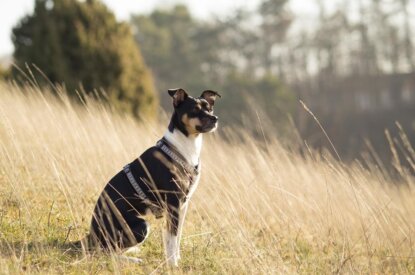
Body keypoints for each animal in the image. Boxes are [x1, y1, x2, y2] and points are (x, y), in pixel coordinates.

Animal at [85, 88, 221, 268]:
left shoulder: (182, 206)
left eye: (210, 108)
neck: (183, 148)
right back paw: (132, 259)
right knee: (106, 252)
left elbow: (176, 237)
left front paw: (175, 259)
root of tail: (90, 236)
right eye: (195, 110)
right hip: (141, 226)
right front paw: (173, 264)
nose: (215, 118)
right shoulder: (173, 204)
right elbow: (171, 238)